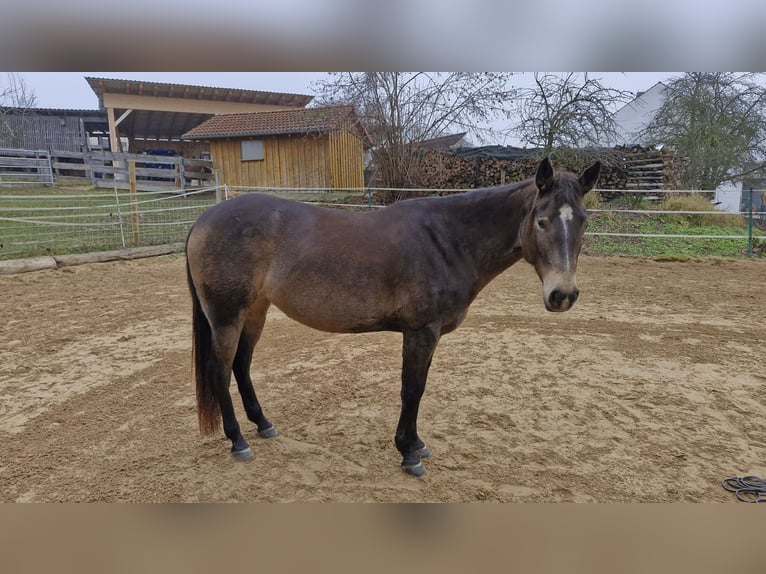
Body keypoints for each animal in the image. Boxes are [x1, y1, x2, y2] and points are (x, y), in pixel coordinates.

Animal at [185, 157, 601, 476]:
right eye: (542, 221)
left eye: (583, 220)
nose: (562, 295)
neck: (448, 239)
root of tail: (204, 219)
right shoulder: (420, 331)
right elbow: (411, 390)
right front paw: (408, 454)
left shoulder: (429, 334)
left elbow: (420, 388)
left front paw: (416, 443)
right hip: (227, 316)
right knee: (220, 369)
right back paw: (238, 440)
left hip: (255, 310)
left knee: (242, 365)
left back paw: (263, 424)